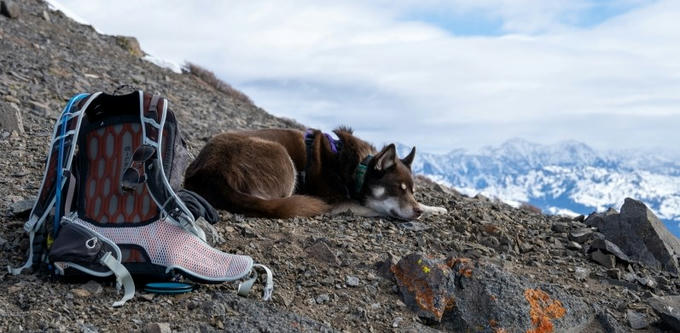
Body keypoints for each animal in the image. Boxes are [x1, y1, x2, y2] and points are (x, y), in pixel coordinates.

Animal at [183, 126, 446, 219]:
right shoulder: (333, 198)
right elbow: (368, 205)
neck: (356, 168)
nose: (417, 212)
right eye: (396, 189)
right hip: (282, 157)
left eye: (411, 191)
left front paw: (434, 208)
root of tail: (211, 171)